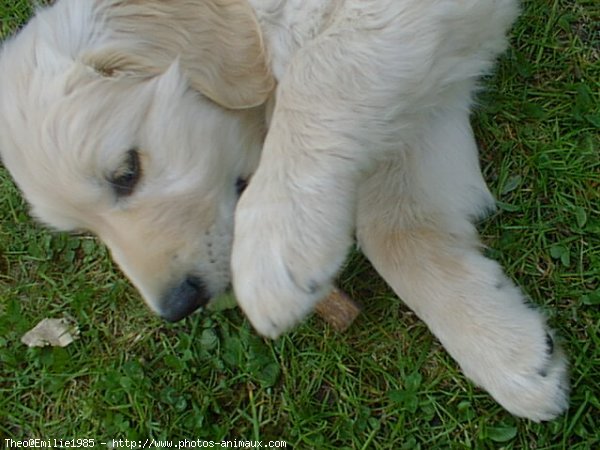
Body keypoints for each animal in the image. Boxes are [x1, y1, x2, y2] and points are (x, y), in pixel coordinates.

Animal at [0, 0, 568, 422]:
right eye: (83, 230)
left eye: (126, 172)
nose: (179, 306)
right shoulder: (424, 84)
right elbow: (394, 229)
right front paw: (506, 349)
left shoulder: (387, 23)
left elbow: (319, 79)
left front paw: (277, 244)